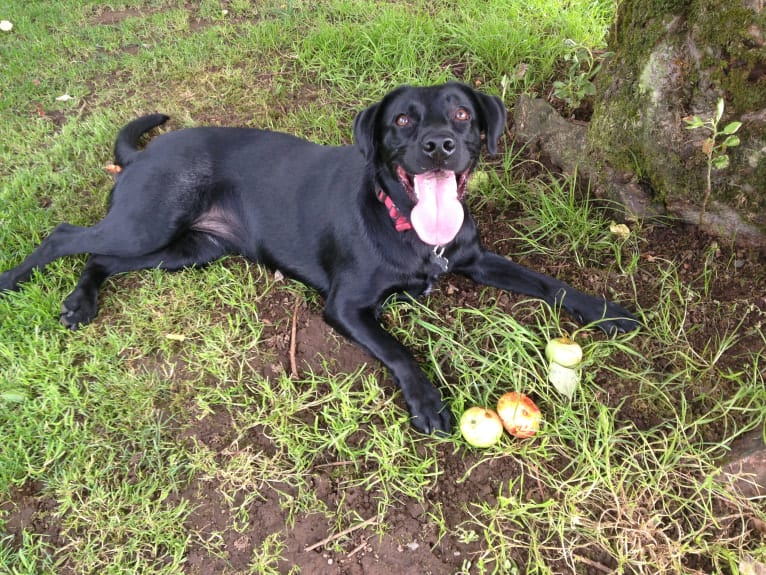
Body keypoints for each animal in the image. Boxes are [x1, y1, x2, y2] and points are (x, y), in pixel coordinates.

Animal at [0, 83, 636, 434]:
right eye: (402, 120)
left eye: (462, 115)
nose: (440, 146)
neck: (402, 220)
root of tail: (143, 155)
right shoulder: (346, 308)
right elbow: (399, 350)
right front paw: (428, 402)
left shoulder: (474, 258)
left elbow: (548, 282)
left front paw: (608, 311)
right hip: (148, 222)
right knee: (64, 235)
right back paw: (16, 280)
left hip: (186, 250)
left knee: (100, 258)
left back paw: (81, 302)